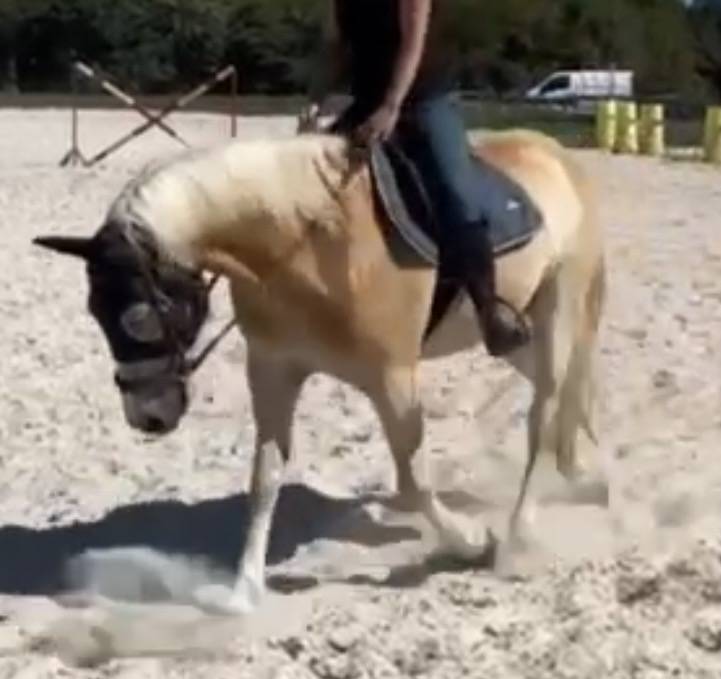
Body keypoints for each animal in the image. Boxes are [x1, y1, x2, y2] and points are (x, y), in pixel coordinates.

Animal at [34, 128, 606, 614]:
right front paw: (242, 593)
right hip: (516, 335)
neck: (305, 241)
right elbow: (265, 477)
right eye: (93, 313)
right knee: (563, 398)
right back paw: (587, 477)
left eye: (142, 316)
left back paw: (517, 536)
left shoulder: (393, 378)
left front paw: (470, 542)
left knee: (544, 413)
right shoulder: (272, 370)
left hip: (558, 310)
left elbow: (413, 479)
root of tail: (555, 153)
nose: (147, 416)